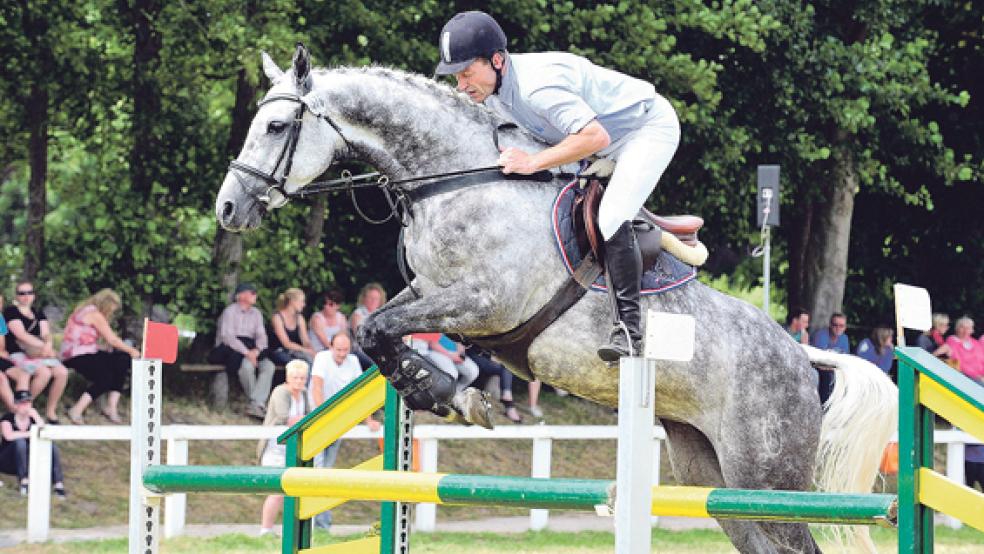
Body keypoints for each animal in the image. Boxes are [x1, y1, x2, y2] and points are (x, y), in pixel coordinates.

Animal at [217, 47, 900, 552]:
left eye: (275, 126)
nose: (228, 208)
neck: (458, 180)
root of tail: (805, 355)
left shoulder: (484, 302)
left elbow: (378, 330)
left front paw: (448, 394)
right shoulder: (433, 294)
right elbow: (376, 329)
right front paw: (448, 392)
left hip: (766, 474)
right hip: (716, 477)